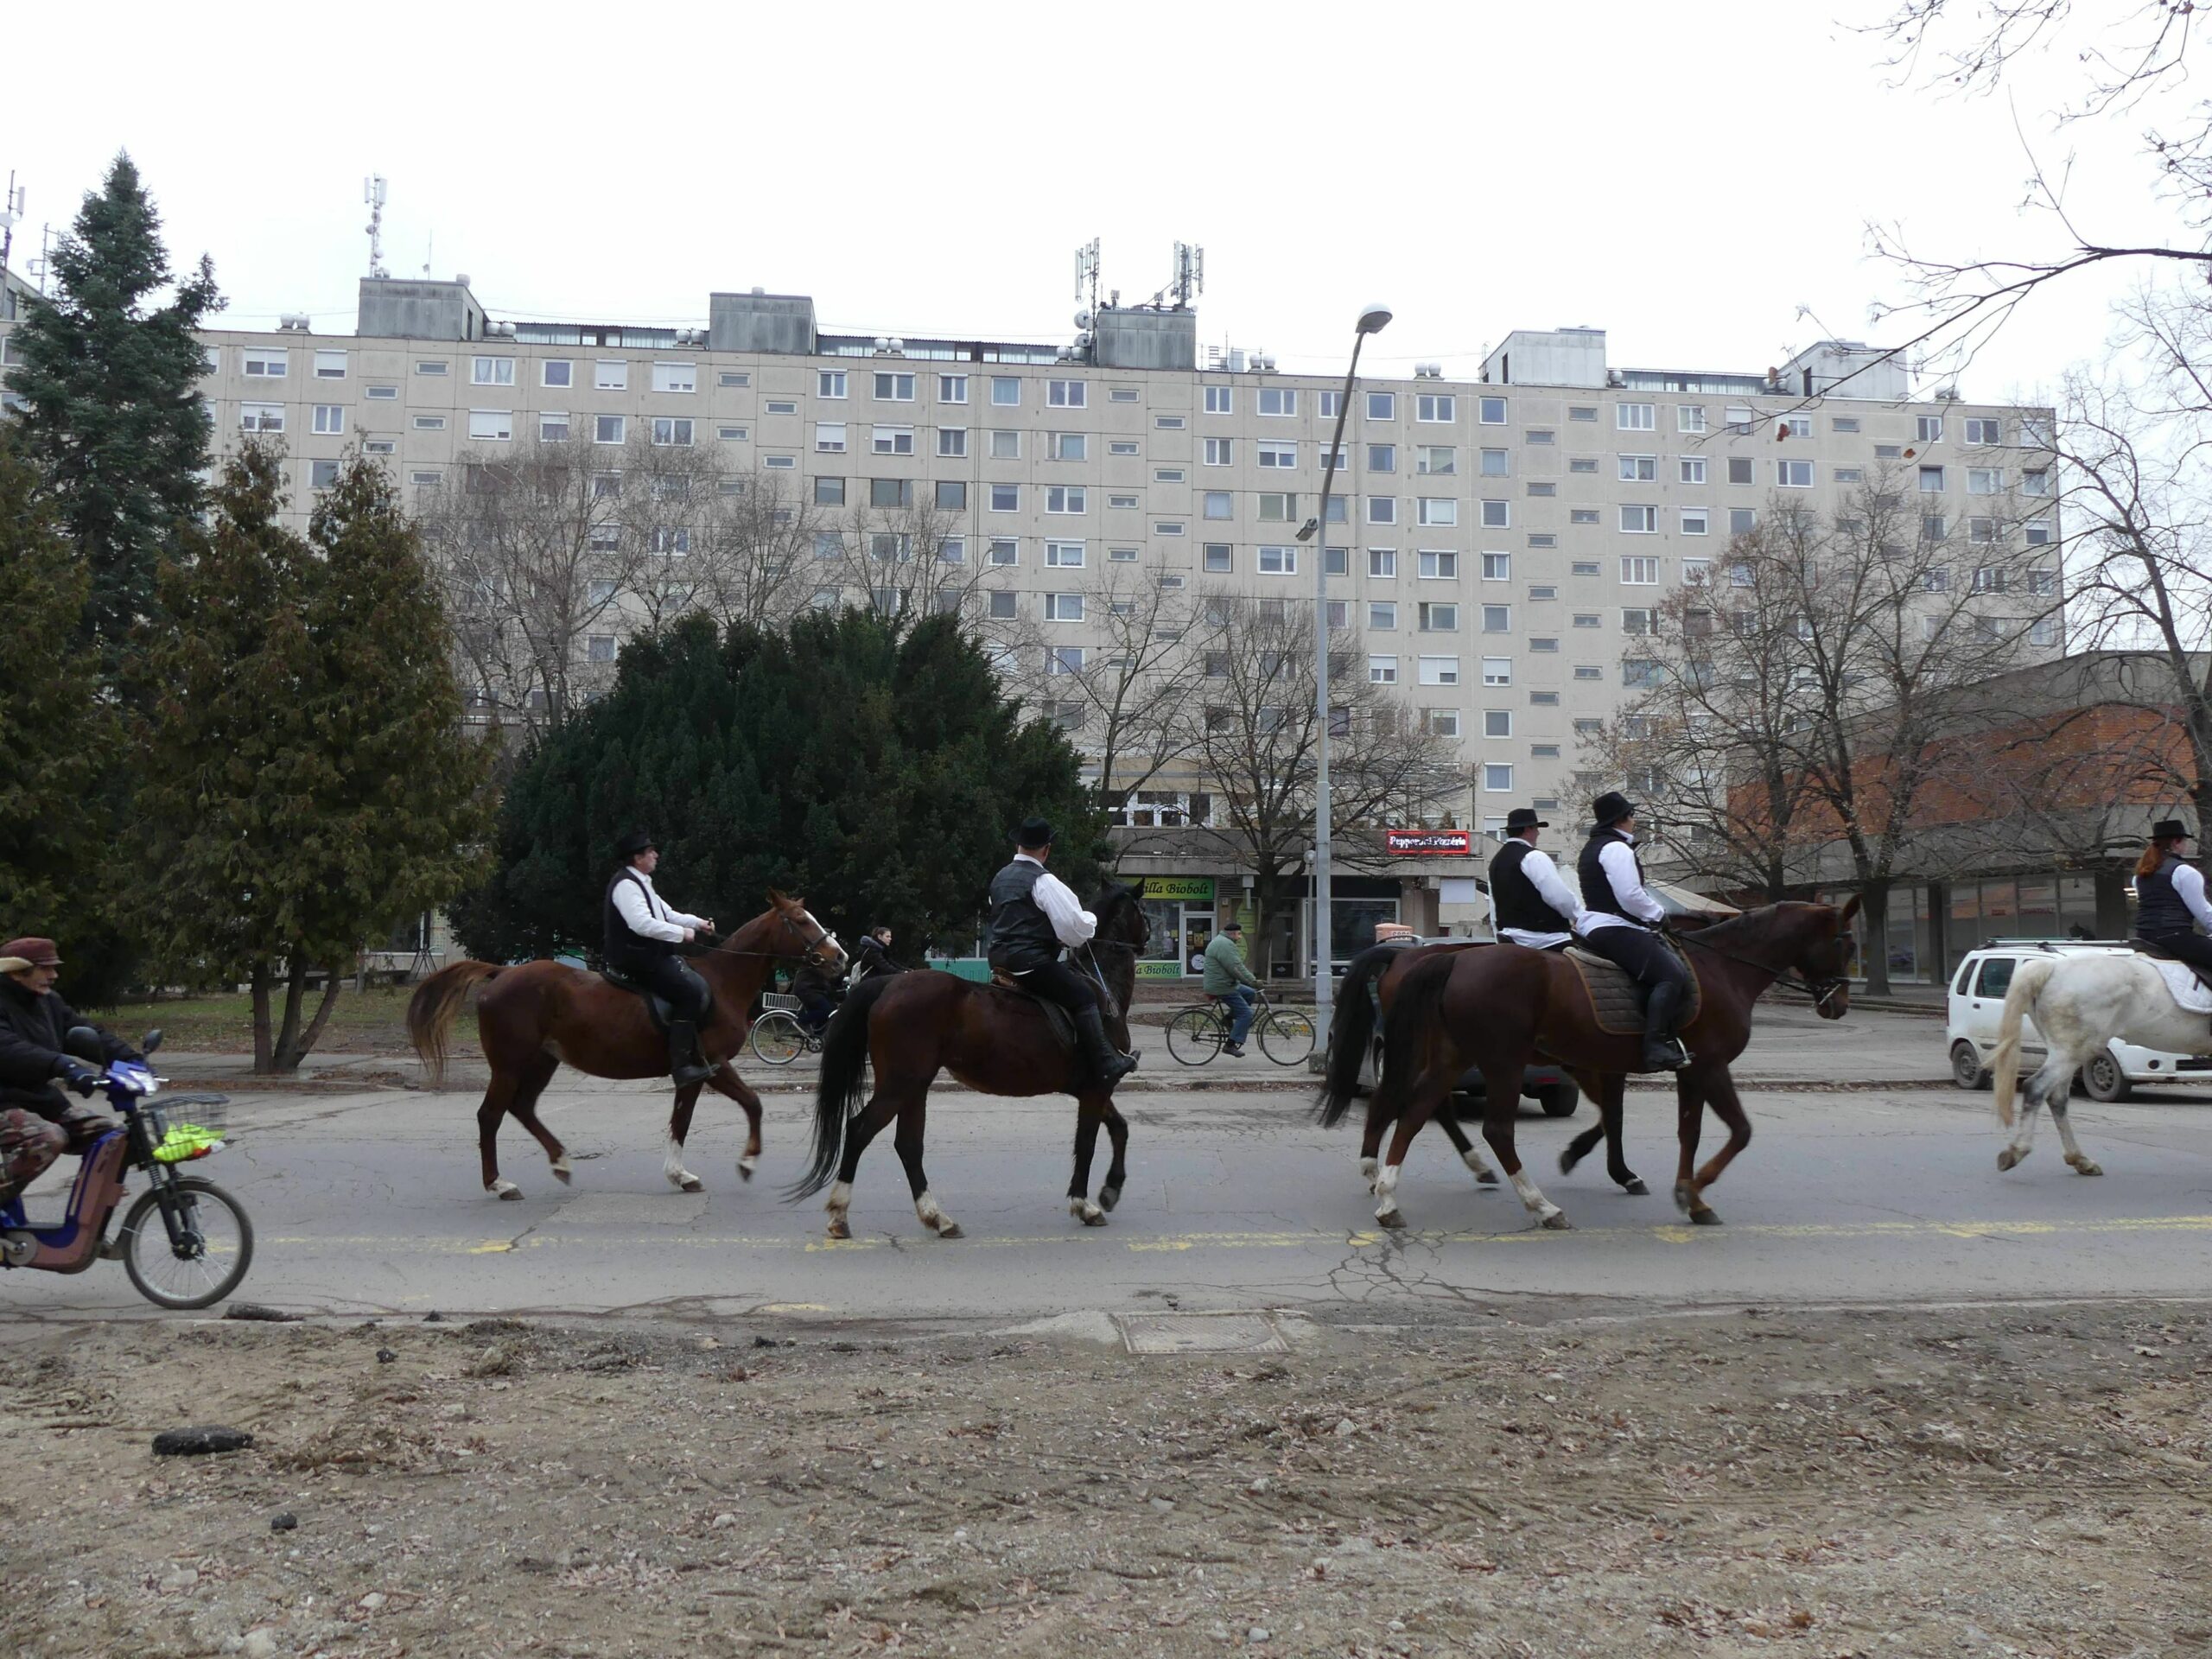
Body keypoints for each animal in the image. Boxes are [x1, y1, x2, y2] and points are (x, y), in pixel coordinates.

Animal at [402, 902, 840, 1203]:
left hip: (543, 1060)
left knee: (522, 1107)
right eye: (801, 920)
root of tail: (502, 972)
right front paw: (745, 1162)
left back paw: (559, 1161)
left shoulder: (694, 1072)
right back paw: (499, 1183)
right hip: (509, 1065)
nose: (840, 957)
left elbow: (681, 1120)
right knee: (490, 1115)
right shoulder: (714, 1065)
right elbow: (751, 1104)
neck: (720, 983)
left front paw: (680, 1175)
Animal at [791, 889, 1141, 1238]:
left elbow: (1119, 1128)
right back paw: (840, 1214)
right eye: (1140, 910)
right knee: (860, 1130)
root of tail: (888, 985)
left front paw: (1111, 1189)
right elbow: (1087, 1143)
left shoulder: (1092, 1089)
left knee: (908, 1145)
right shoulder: (1096, 1087)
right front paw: (1085, 1204)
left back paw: (936, 1217)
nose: (1146, 937)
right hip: (899, 1085)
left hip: (914, 1087)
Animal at [1371, 898, 1858, 1238]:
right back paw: (1542, 1206)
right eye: (1844, 943)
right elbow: (1739, 1130)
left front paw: (1690, 1197)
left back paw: (1389, 1199)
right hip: (1503, 1062)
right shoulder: (1711, 1066)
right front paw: (1695, 1189)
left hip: (1455, 1057)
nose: (1839, 1004)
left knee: (1416, 1112)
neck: (1721, 968)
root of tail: (1455, 957)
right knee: (1496, 1130)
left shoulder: (1687, 1071)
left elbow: (1686, 1130)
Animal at [1991, 955, 2212, 1176]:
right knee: (2036, 1087)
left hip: (2064, 1051)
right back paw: (2016, 1152)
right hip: (2074, 1050)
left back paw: (2080, 1160)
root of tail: (2053, 967)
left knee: (2056, 1097)